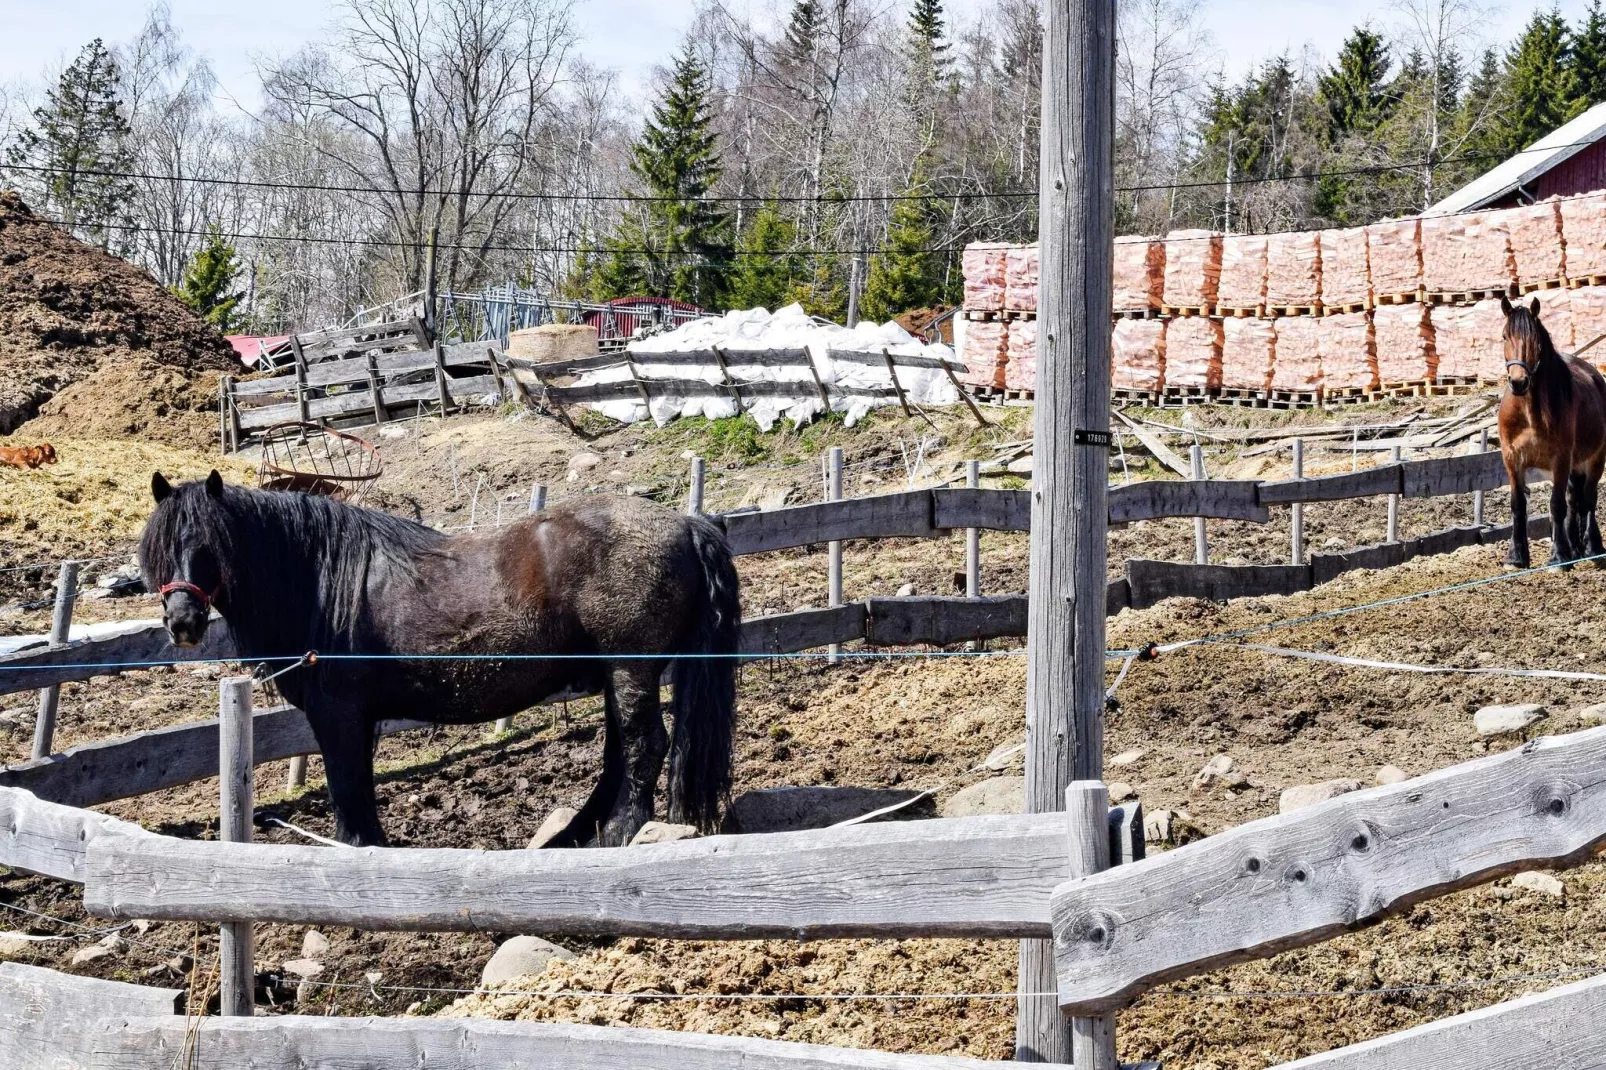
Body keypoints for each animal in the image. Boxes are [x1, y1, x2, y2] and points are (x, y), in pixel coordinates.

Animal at [138, 472, 738, 848]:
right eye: (162, 549)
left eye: (213, 546)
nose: (182, 622)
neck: (321, 579)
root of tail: (688, 524)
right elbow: (357, 784)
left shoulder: (337, 716)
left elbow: (346, 785)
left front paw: (357, 847)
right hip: (619, 676)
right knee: (620, 752)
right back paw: (577, 834)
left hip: (629, 669)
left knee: (644, 747)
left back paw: (617, 834)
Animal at [1490, 294, 1606, 565]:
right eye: (1504, 336)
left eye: (1535, 339)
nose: (1518, 382)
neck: (1529, 412)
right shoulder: (1512, 459)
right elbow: (1518, 505)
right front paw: (1516, 556)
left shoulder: (1560, 460)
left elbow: (1556, 505)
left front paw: (1558, 555)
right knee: (1575, 499)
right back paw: (1575, 547)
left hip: (1596, 458)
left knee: (1589, 499)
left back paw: (1591, 546)